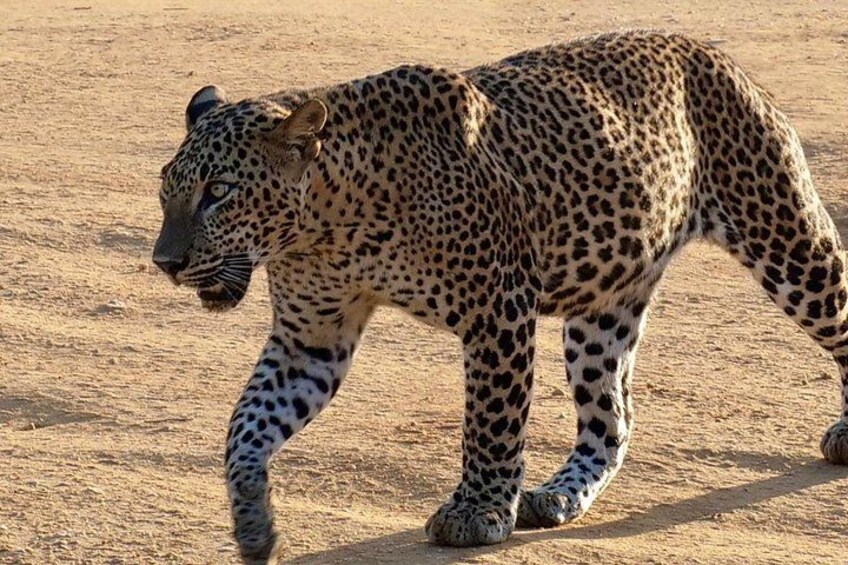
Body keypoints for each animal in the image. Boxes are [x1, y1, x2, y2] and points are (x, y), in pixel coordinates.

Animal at [152, 30, 848, 563]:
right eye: (166, 190)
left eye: (219, 191)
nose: (165, 262)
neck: (326, 227)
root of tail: (707, 50)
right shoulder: (310, 341)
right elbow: (245, 428)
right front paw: (253, 523)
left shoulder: (498, 307)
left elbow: (490, 420)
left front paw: (479, 512)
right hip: (601, 308)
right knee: (612, 417)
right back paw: (559, 495)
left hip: (787, 241)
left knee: (839, 317)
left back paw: (845, 430)